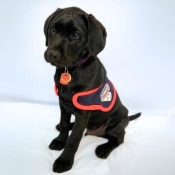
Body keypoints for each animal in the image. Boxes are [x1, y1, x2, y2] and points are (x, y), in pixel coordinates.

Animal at [43, 6, 141, 172]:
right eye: (53, 29)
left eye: (76, 34)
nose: (52, 54)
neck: (72, 70)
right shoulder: (63, 104)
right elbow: (64, 125)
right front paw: (60, 140)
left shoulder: (83, 113)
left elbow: (74, 139)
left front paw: (64, 161)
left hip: (115, 125)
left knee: (119, 138)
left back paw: (104, 148)